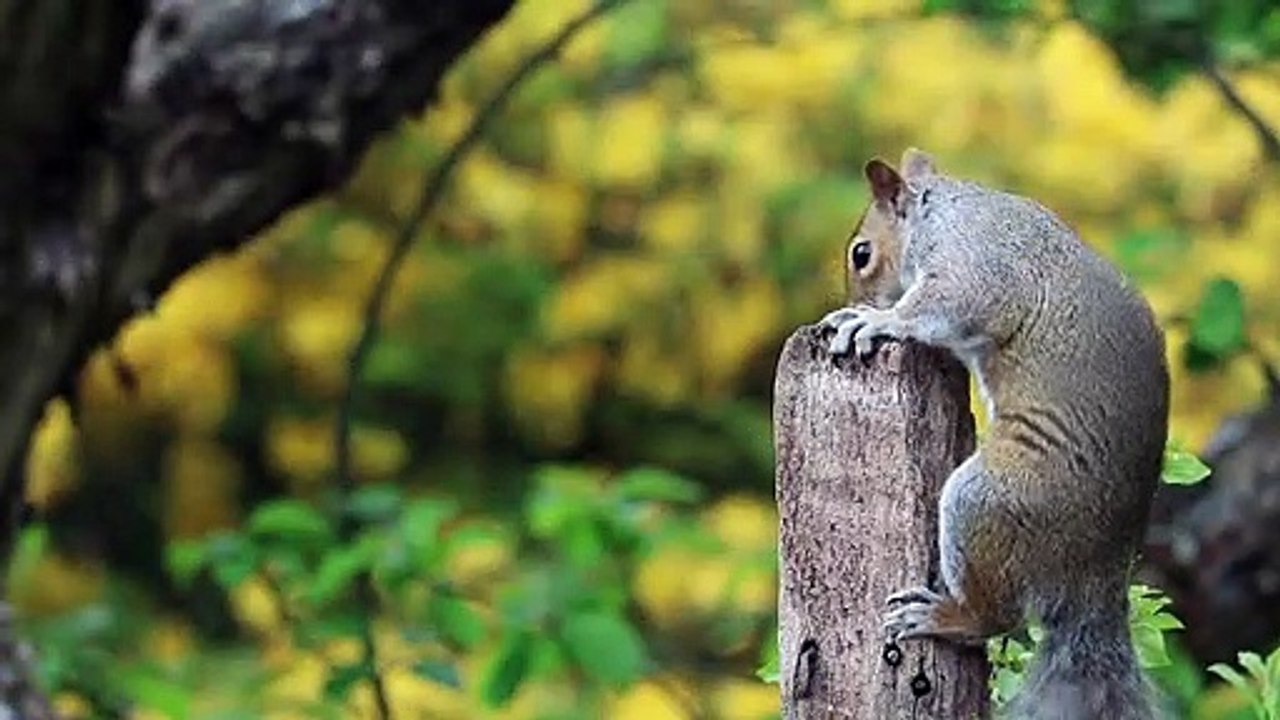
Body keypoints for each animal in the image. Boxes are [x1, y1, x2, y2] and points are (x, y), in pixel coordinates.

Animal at [821, 149, 1170, 719]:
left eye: (862, 253)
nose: (859, 296)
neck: (942, 209)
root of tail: (1095, 577)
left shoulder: (976, 265)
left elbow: (945, 305)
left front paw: (874, 318)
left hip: (988, 500)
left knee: (996, 619)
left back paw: (945, 617)